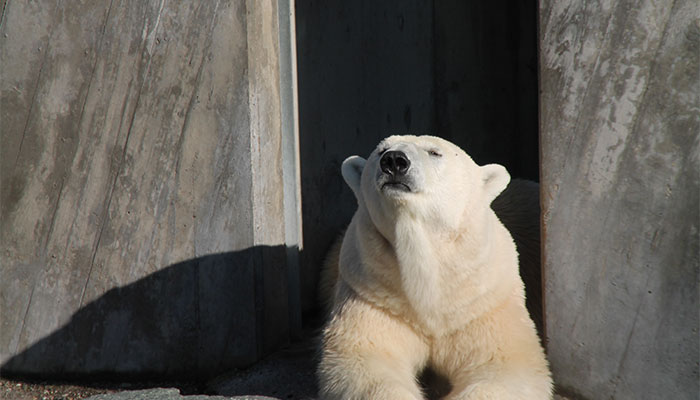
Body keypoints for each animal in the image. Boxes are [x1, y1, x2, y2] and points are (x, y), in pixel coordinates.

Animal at [318, 136, 552, 398]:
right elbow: (366, 359)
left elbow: (503, 365)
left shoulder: (479, 305)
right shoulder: (374, 294)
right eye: (381, 151)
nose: (394, 161)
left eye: (434, 152)